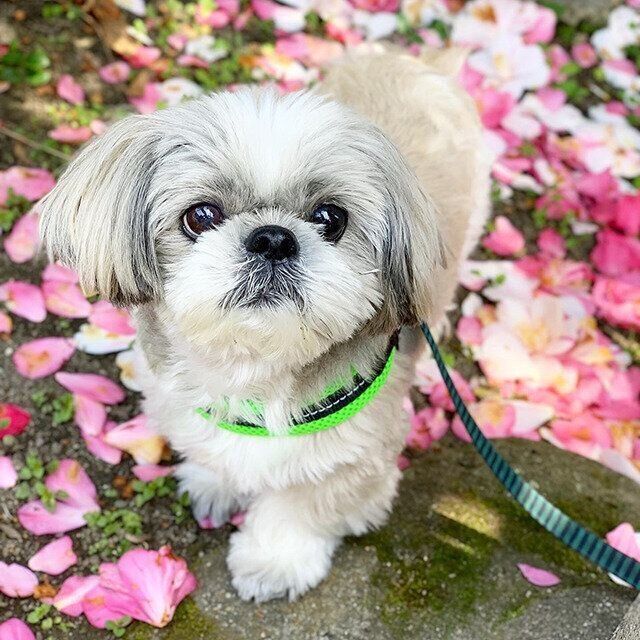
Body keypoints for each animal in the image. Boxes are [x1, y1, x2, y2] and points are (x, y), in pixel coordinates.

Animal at [39, 48, 490, 602]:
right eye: (200, 216)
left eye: (330, 218)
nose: (273, 238)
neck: (252, 371)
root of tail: (417, 61)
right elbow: (213, 453)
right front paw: (216, 482)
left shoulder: (357, 462)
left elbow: (301, 509)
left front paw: (274, 560)